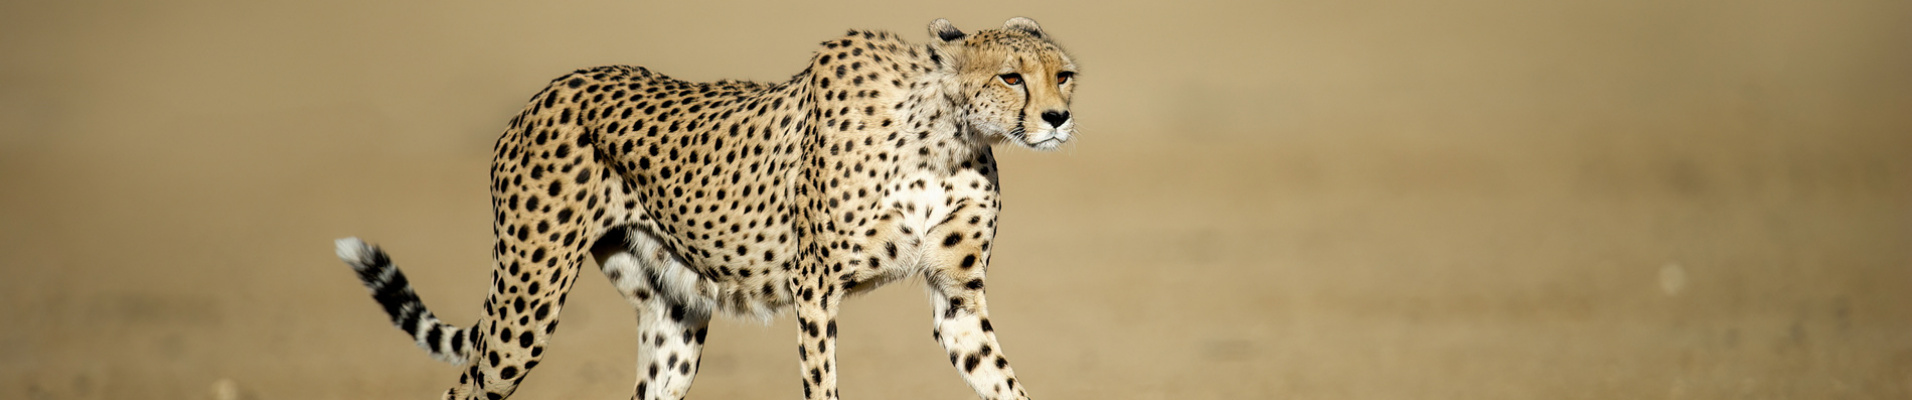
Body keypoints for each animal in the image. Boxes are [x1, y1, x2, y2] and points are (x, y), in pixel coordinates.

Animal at [338, 17, 1086, 398]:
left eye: (1064, 75)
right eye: (1011, 77)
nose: (1057, 118)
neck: (946, 137)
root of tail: (548, 90)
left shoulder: (957, 295)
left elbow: (1002, 379)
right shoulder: (816, 290)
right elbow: (822, 382)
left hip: (674, 314)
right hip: (528, 300)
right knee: (466, 385)